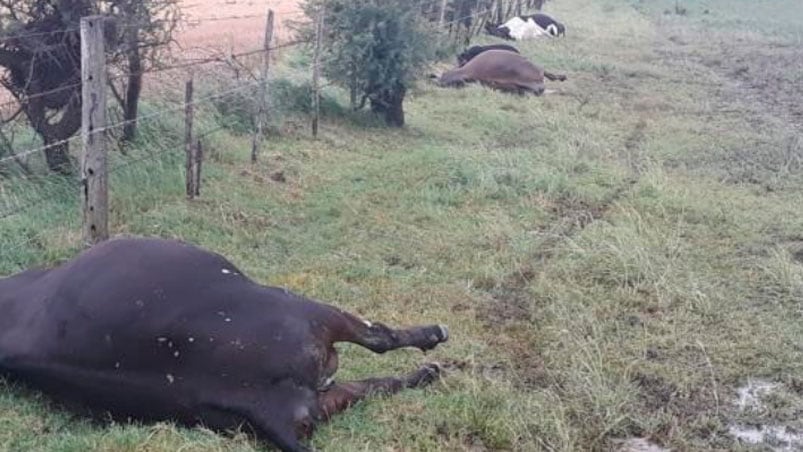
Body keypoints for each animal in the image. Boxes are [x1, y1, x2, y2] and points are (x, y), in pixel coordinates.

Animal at [0, 238, 452, 450]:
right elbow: (380, 338)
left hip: (325, 395)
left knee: (377, 384)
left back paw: (426, 373)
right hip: (311, 314)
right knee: (380, 341)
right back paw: (432, 340)